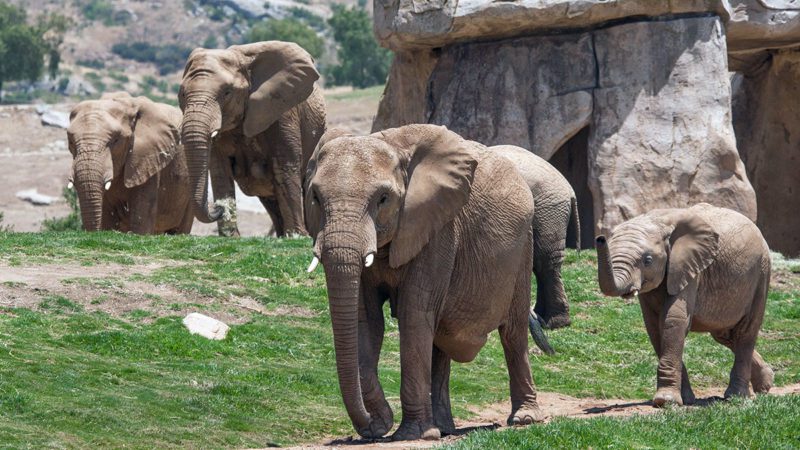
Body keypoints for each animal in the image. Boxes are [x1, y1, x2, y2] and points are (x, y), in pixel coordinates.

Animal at [179, 41, 326, 237]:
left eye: (227, 93)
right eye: (182, 94)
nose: (219, 208)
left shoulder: (282, 110)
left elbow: (285, 165)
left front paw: (296, 237)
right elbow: (219, 168)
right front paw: (231, 237)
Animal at [304, 125, 552, 441]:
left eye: (383, 199)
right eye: (315, 198)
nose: (372, 427)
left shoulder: (438, 230)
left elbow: (414, 313)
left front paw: (412, 435)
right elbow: (366, 319)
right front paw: (393, 429)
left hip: (523, 249)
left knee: (513, 333)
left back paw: (524, 419)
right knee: (439, 340)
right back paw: (444, 428)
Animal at [595, 203, 773, 407]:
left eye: (647, 260)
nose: (599, 238)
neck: (658, 221)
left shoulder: (690, 268)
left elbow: (673, 321)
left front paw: (665, 402)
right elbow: (655, 328)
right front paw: (684, 400)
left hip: (761, 272)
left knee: (745, 332)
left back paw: (736, 397)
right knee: (725, 335)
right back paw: (764, 386)